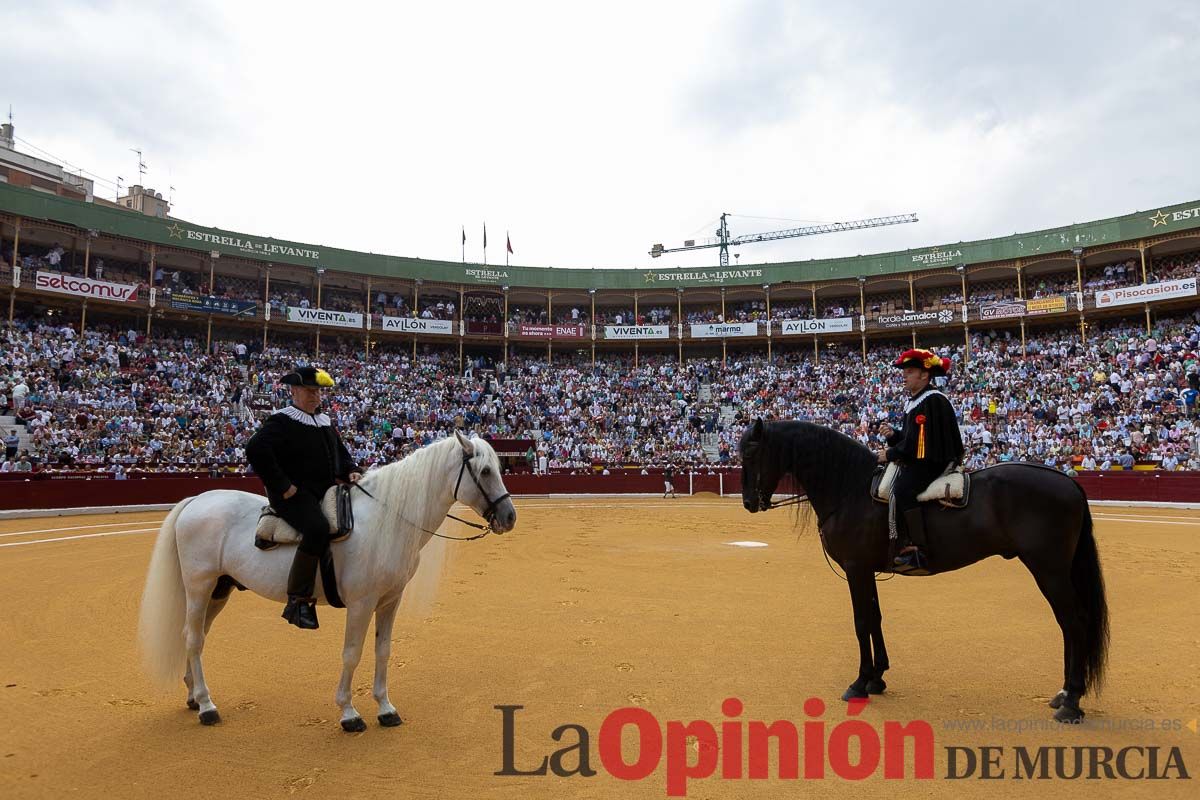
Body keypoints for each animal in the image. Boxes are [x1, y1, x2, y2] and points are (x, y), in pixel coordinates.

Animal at [139, 431, 516, 734]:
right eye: (485, 471)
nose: (509, 517)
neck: (387, 519)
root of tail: (197, 500)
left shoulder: (390, 600)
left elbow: (383, 650)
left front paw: (385, 709)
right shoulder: (362, 603)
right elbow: (352, 653)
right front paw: (349, 713)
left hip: (220, 589)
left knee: (195, 636)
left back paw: (193, 695)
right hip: (198, 586)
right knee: (194, 637)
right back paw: (207, 706)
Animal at [734, 419, 1108, 724]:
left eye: (751, 453)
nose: (749, 503)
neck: (851, 488)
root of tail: (1067, 482)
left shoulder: (856, 569)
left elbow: (861, 621)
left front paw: (859, 682)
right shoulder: (868, 570)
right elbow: (875, 618)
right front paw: (877, 678)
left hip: (1049, 570)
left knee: (1073, 622)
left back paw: (1071, 702)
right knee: (1068, 624)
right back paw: (1063, 693)